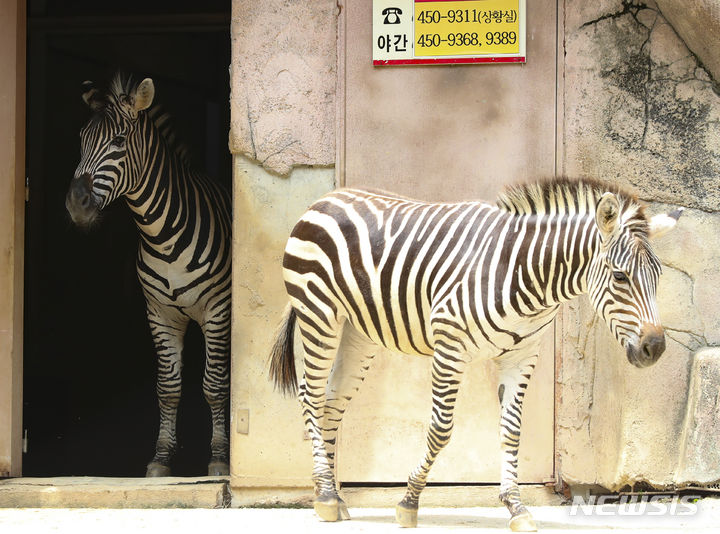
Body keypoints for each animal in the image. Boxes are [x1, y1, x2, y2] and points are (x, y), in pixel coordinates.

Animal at [65, 73, 231, 480]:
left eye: (119, 142)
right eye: (81, 139)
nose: (76, 204)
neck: (162, 234)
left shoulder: (217, 311)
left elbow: (214, 384)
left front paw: (219, 458)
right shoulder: (159, 314)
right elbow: (168, 387)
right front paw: (162, 458)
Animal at [268, 179, 680, 532]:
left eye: (659, 277)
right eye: (621, 277)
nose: (655, 348)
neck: (524, 273)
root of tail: (326, 198)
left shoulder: (521, 356)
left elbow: (511, 431)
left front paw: (516, 507)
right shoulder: (450, 343)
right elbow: (440, 429)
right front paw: (409, 501)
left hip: (359, 332)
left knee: (332, 402)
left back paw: (331, 497)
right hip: (319, 313)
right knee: (311, 395)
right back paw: (325, 495)